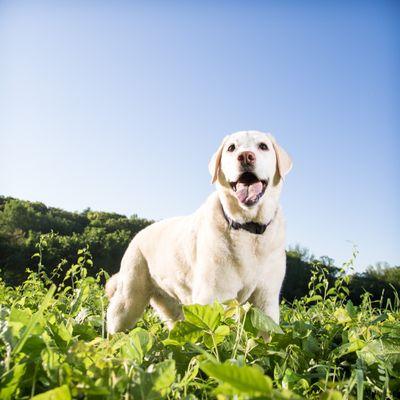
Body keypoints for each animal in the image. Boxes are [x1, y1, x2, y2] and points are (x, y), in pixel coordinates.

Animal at [106, 130, 292, 332]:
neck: (247, 228)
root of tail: (140, 233)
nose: (245, 156)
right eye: (231, 148)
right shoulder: (212, 297)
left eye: (263, 146)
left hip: (172, 307)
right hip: (129, 299)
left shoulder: (266, 302)